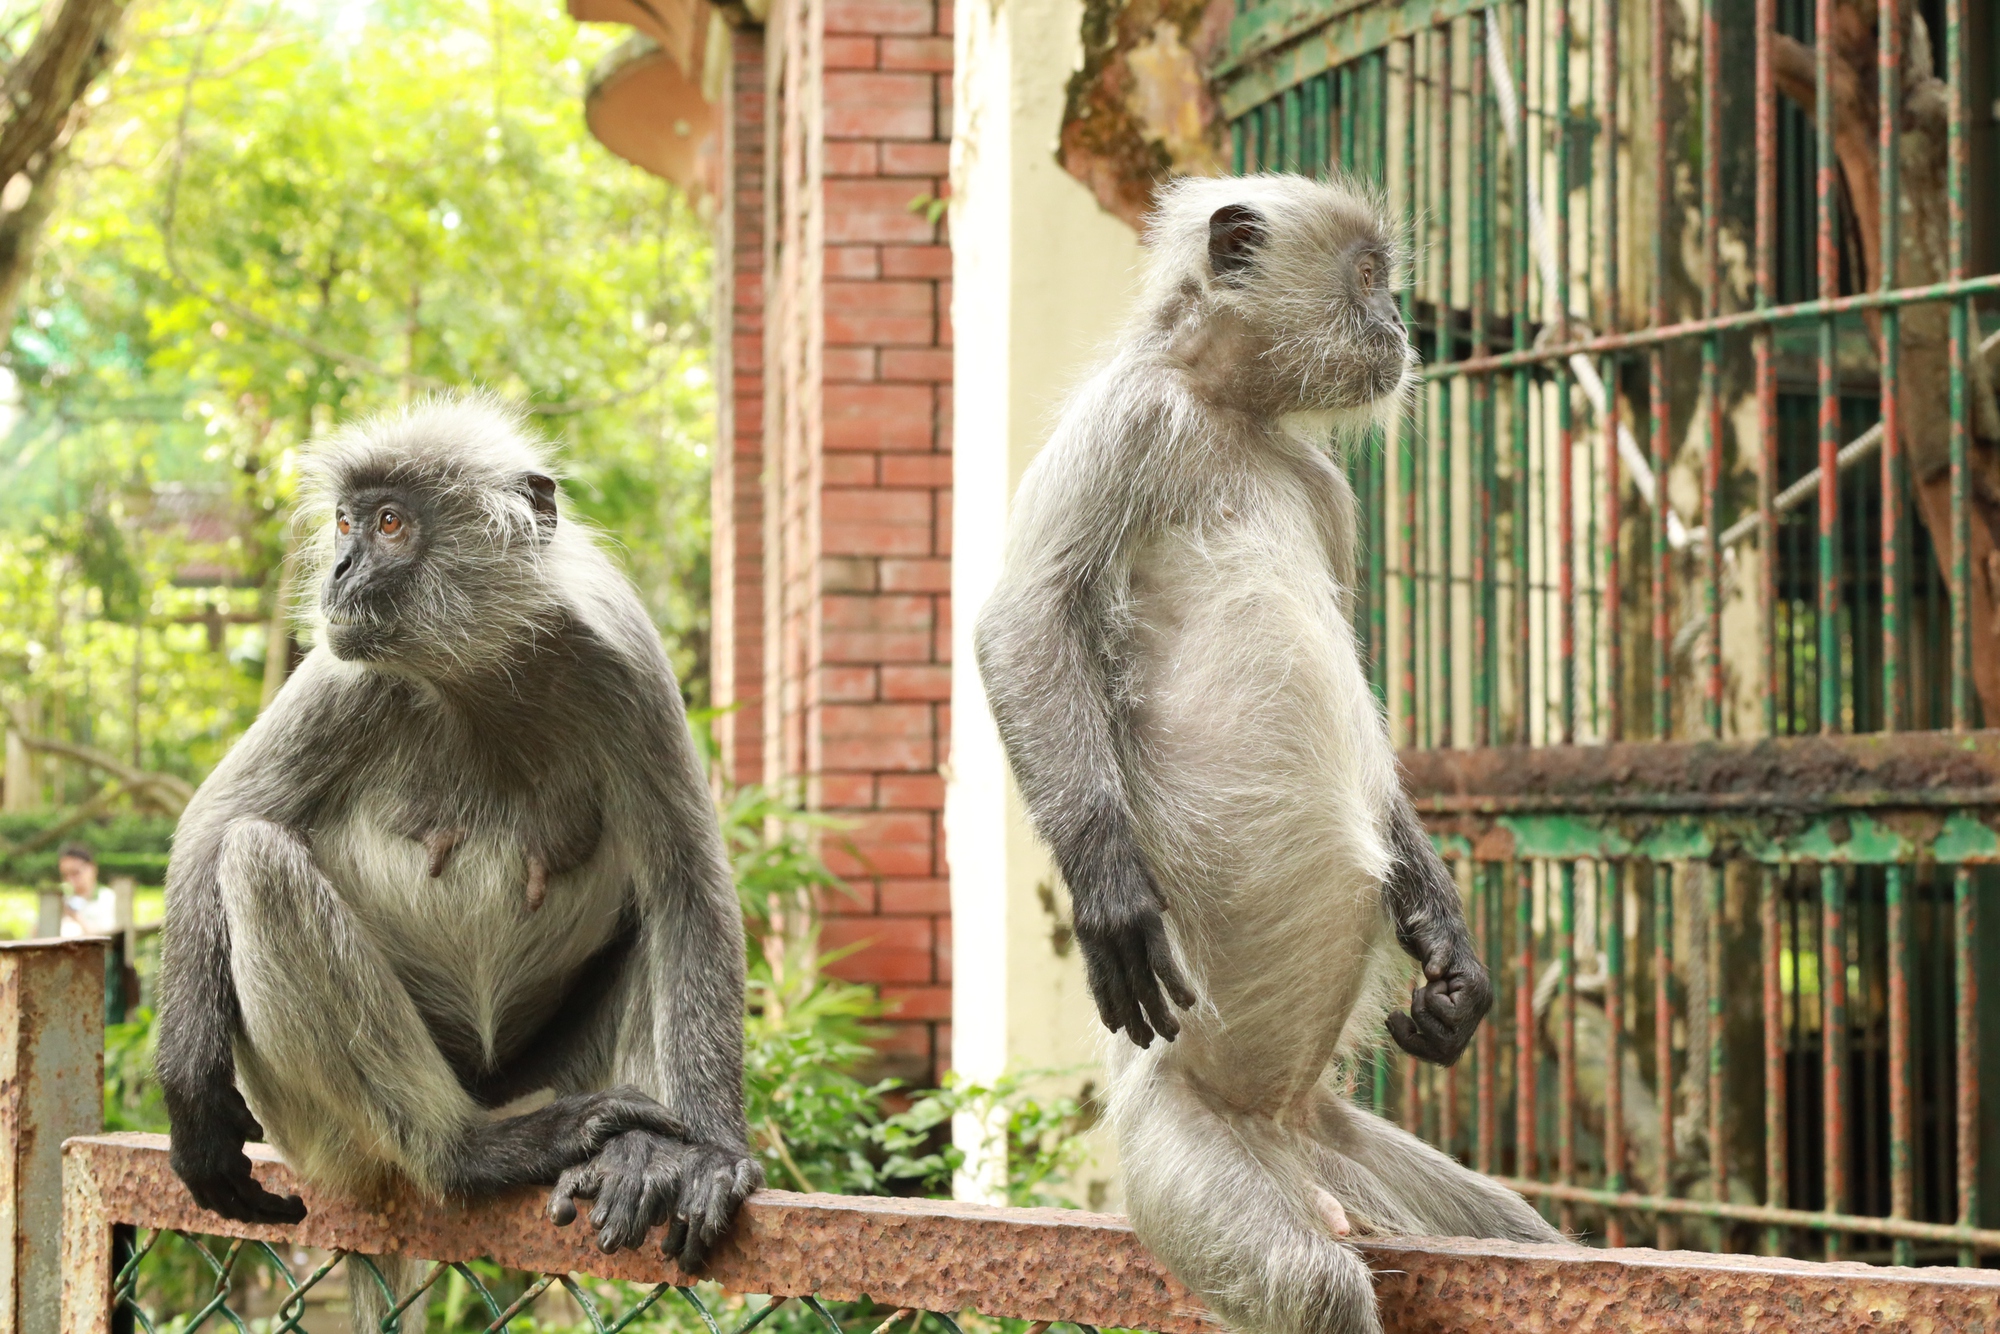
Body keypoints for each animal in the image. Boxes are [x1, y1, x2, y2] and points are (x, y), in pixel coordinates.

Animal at [972, 175, 1560, 1334]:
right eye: (1369, 278)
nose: (1399, 325)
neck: (1233, 419)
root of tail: (1283, 1132)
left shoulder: (1321, 484)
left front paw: (1451, 960)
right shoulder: (1126, 416)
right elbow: (1023, 620)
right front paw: (1111, 895)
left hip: (1349, 1154)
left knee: (1526, 1242)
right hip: (1180, 1145)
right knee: (1310, 1284)